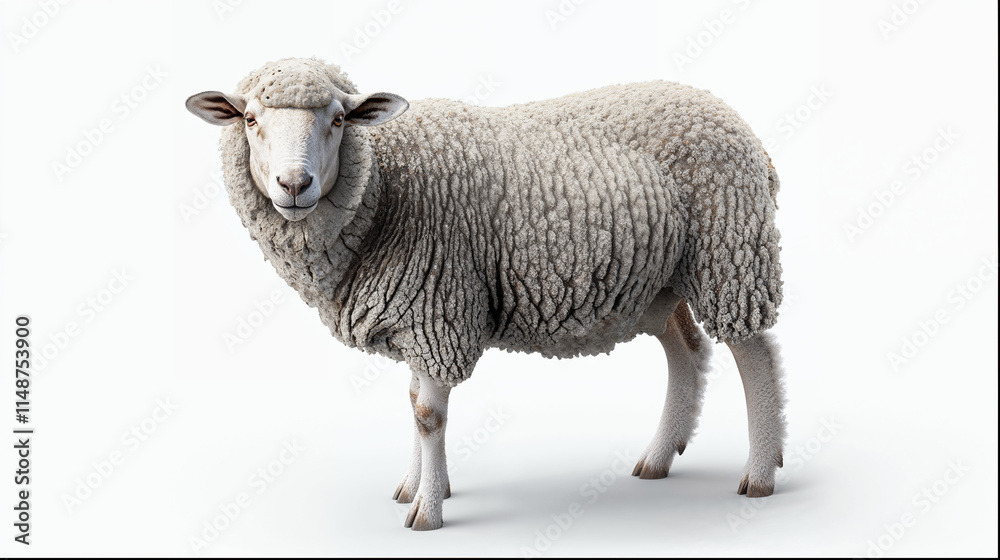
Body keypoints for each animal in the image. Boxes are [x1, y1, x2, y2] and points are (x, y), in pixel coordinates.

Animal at [186, 57, 788, 531]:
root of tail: (732, 119)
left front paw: (426, 512)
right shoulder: (416, 317)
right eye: (250, 119)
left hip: (730, 254)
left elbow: (427, 415)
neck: (387, 190)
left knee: (754, 355)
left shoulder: (437, 309)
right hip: (661, 281)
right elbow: (413, 403)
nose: (294, 185)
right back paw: (659, 458)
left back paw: (760, 473)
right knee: (686, 350)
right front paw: (415, 486)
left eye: (338, 120)